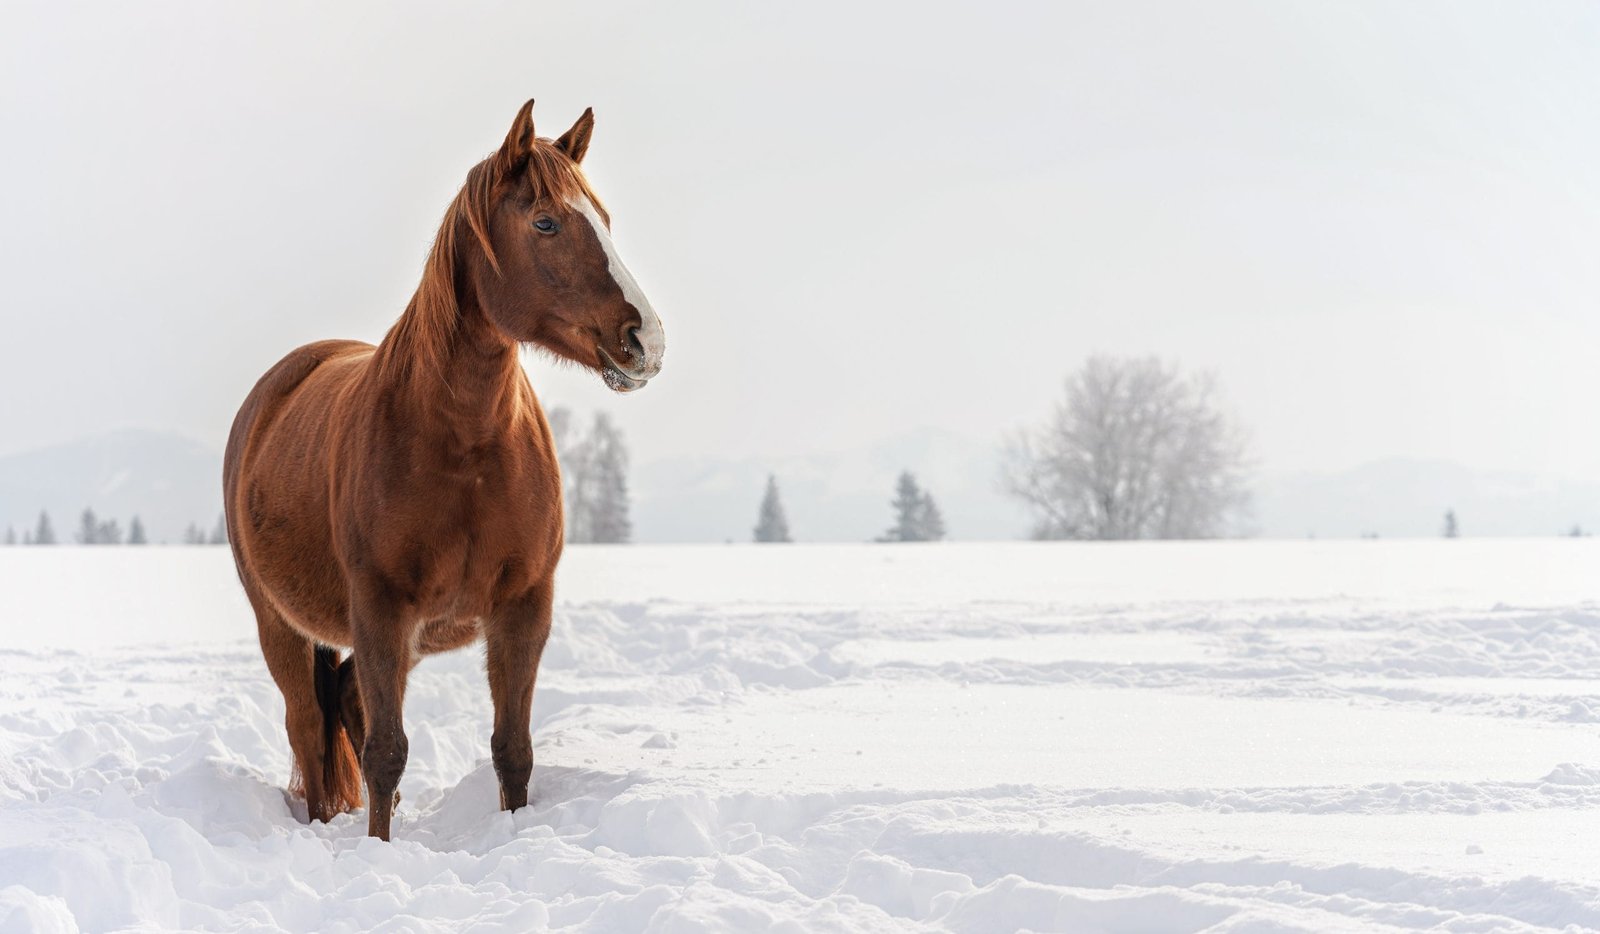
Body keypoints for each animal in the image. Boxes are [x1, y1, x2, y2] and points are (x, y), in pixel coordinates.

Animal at [222, 100, 664, 840]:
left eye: (604, 219)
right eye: (546, 221)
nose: (646, 341)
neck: (465, 449)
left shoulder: (523, 608)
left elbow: (513, 750)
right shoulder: (380, 607)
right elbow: (384, 753)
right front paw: (378, 849)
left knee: (345, 697)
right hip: (282, 624)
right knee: (310, 728)